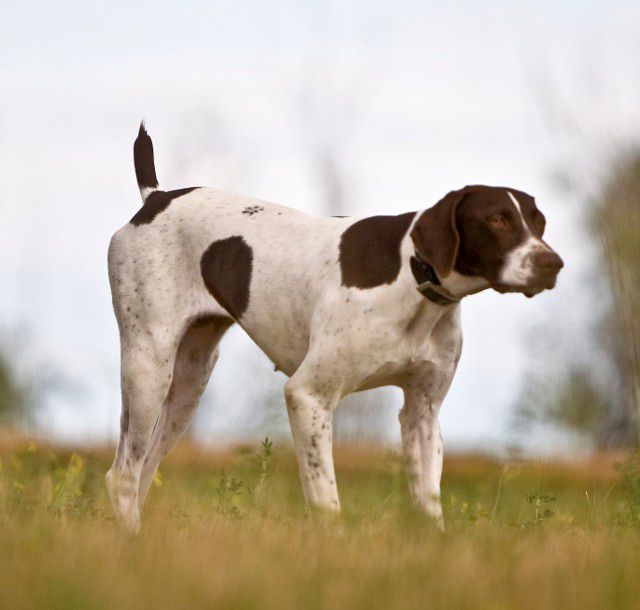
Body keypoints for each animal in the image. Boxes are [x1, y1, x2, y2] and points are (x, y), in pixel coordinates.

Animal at [107, 122, 564, 528]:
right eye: (497, 220)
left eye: (539, 222)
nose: (552, 263)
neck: (412, 278)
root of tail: (155, 198)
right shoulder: (309, 397)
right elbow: (327, 503)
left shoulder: (422, 412)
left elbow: (428, 505)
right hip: (149, 371)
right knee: (123, 475)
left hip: (187, 386)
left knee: (144, 470)